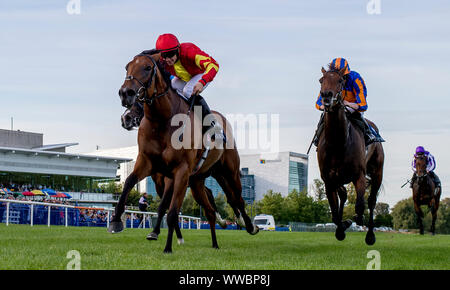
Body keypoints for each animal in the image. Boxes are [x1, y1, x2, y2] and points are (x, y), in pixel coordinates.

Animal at [109, 50, 258, 254]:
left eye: (147, 68)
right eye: (127, 67)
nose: (125, 94)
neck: (163, 121)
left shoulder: (179, 171)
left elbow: (171, 210)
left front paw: (168, 246)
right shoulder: (148, 164)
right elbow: (130, 183)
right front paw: (116, 221)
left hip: (229, 172)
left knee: (237, 198)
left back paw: (248, 225)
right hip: (198, 180)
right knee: (212, 208)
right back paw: (216, 241)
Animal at [316, 65, 384, 245]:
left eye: (340, 80)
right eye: (321, 80)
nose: (326, 96)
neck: (338, 143)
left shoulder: (359, 175)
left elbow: (360, 207)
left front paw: (354, 223)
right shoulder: (329, 179)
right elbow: (334, 213)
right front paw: (342, 228)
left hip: (377, 172)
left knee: (371, 201)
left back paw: (370, 235)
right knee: (344, 195)